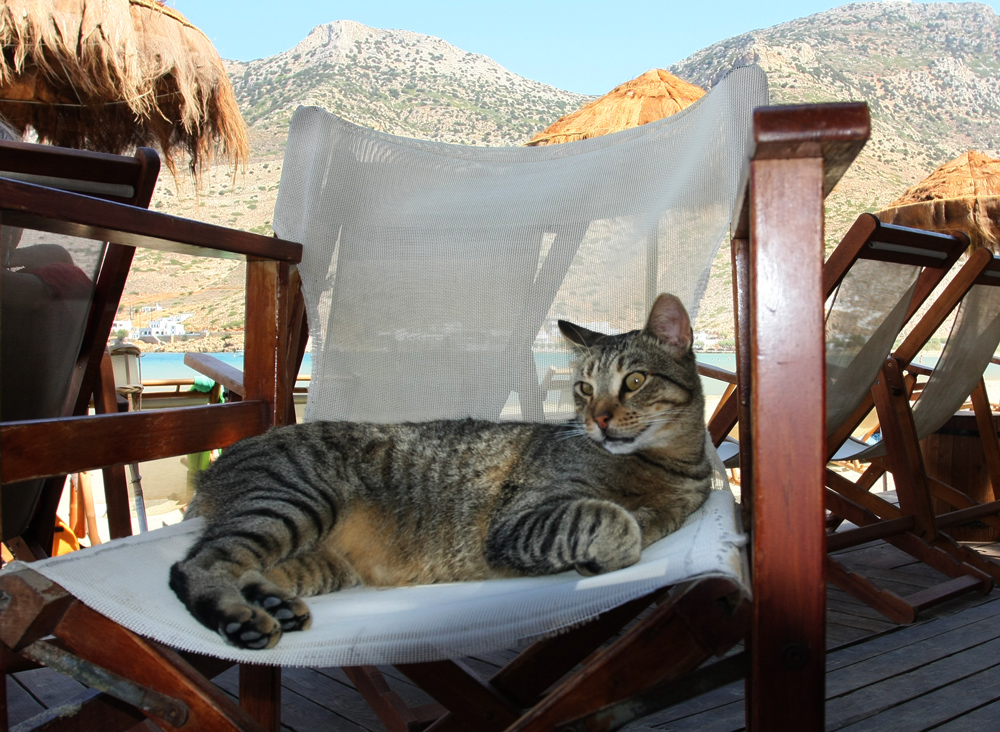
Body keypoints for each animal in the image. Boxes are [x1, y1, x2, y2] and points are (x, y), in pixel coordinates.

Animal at [174, 294, 720, 648]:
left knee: (244, 569)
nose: (598, 418)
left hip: (317, 559)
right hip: (290, 502)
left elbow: (647, 520)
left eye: (635, 381)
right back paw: (240, 619)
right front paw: (605, 549)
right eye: (584, 389)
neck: (666, 465)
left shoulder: (680, 506)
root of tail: (223, 464)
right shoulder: (517, 521)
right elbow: (612, 519)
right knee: (195, 565)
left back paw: (271, 603)